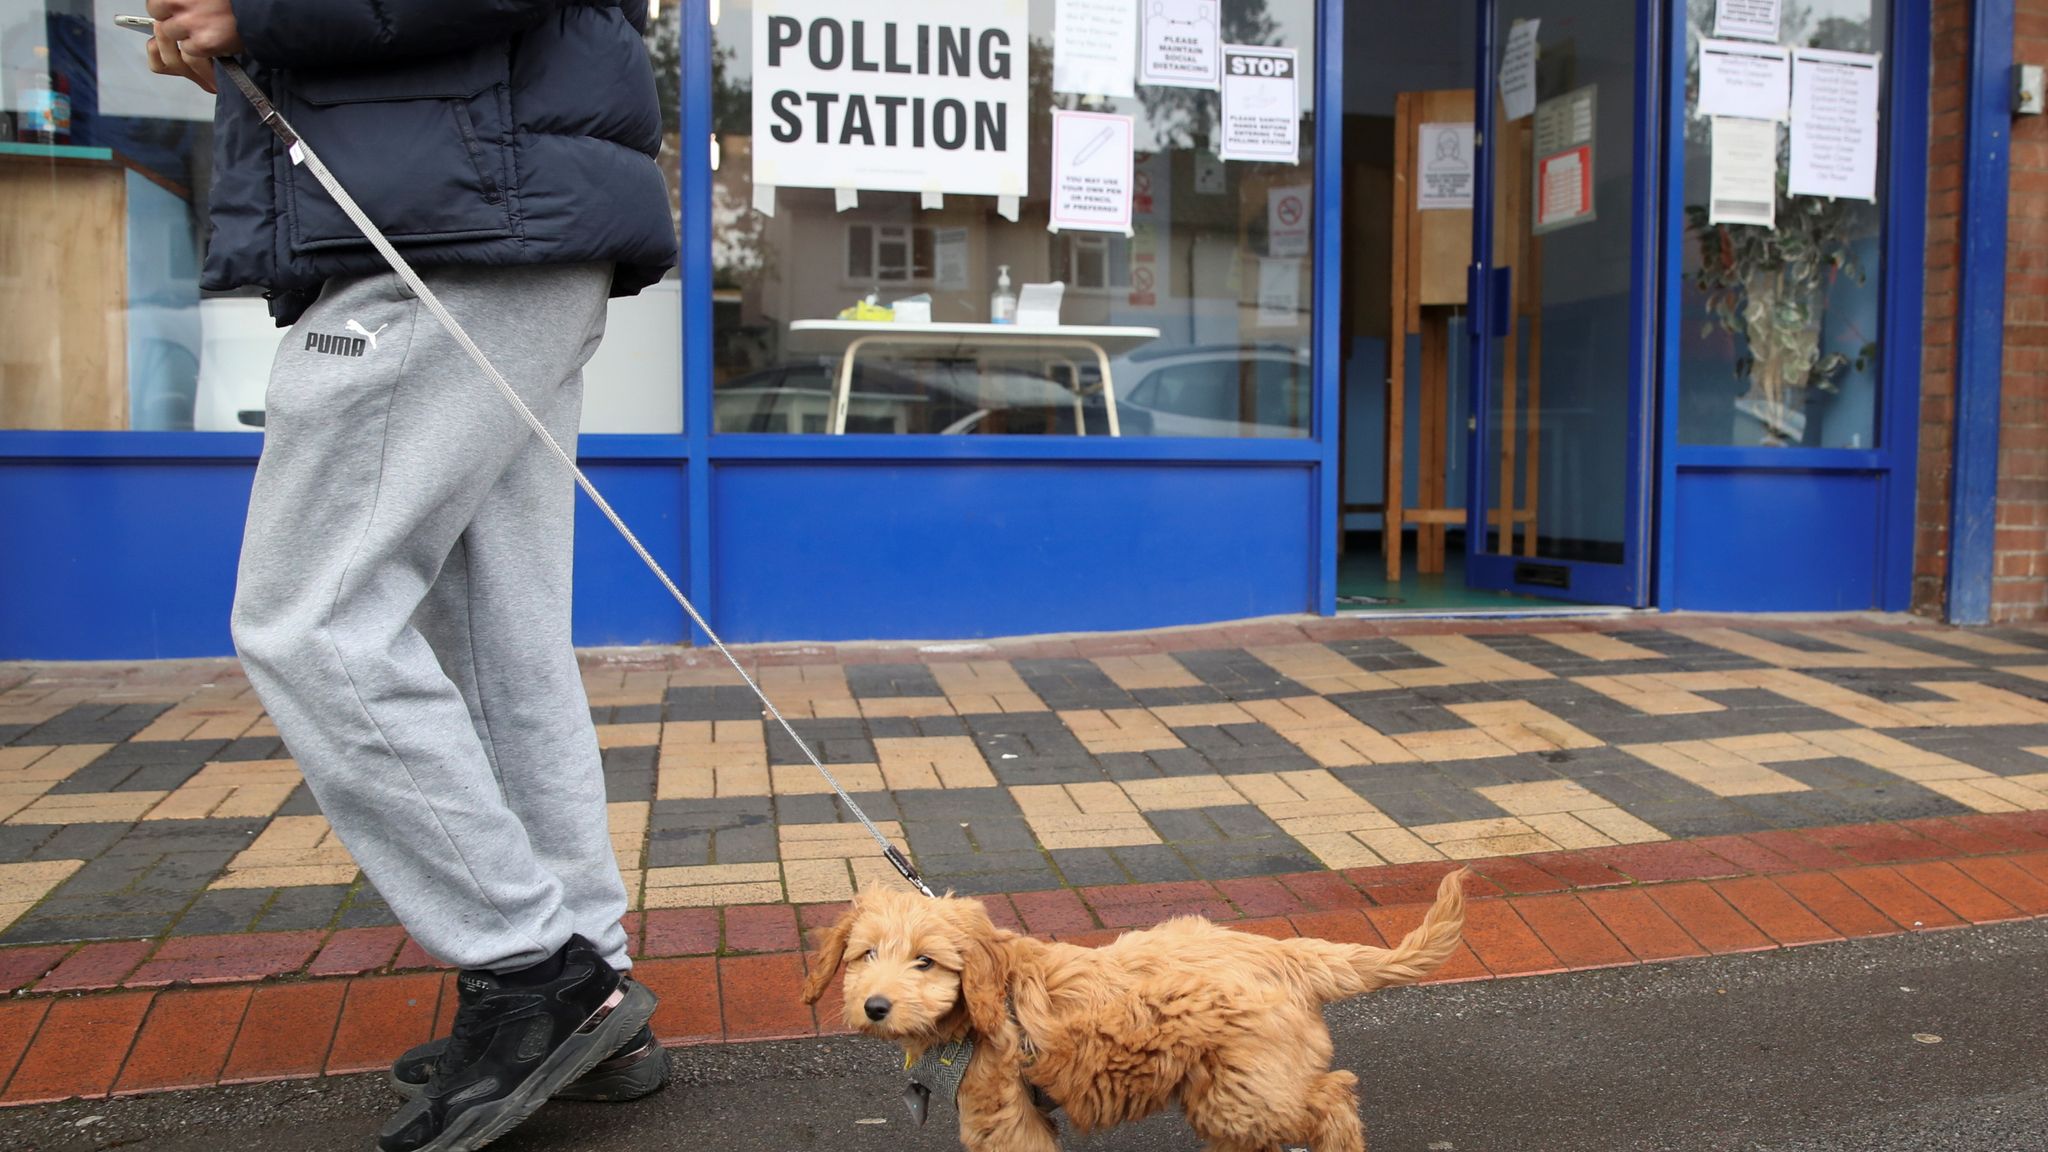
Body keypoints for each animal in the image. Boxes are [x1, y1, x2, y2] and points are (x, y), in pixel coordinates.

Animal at [798, 865, 1474, 1139]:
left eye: (927, 962)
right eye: (864, 955)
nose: (875, 1007)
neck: (994, 1000)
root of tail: (1281, 953)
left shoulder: (1002, 1113)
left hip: (1249, 1088)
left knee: (1334, 1098)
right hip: (1227, 1087)